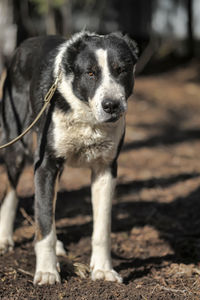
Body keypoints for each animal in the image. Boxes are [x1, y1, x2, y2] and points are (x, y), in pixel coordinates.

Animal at [0, 31, 138, 284]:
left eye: (121, 70)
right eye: (91, 73)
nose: (112, 105)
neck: (86, 116)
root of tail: (24, 43)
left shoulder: (106, 168)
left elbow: (102, 228)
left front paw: (103, 270)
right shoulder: (45, 165)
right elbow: (44, 221)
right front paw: (47, 272)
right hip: (17, 144)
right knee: (11, 191)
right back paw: (5, 238)